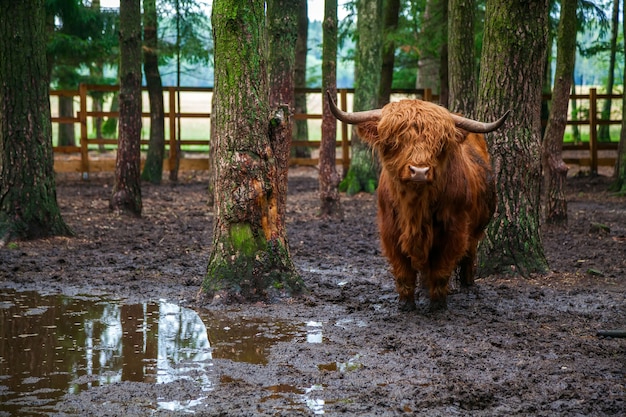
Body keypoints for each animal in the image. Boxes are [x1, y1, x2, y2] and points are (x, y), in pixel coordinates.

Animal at [326, 93, 508, 308]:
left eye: (440, 144)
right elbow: (403, 270)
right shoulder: (390, 230)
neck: (416, 208)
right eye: (395, 141)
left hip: (476, 228)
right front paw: (406, 303)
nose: (419, 171)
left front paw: (437, 304)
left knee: (470, 252)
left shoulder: (454, 230)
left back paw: (468, 286)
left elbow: (441, 269)